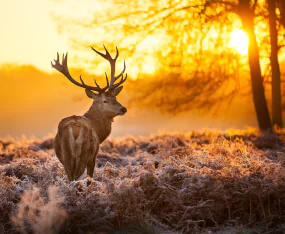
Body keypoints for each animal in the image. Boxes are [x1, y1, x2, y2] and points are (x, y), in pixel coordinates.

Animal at [50, 45, 126, 185]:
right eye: (105, 100)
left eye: (115, 97)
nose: (123, 109)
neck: (99, 131)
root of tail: (74, 129)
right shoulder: (94, 155)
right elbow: (90, 178)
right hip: (84, 153)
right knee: (76, 177)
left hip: (66, 156)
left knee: (70, 178)